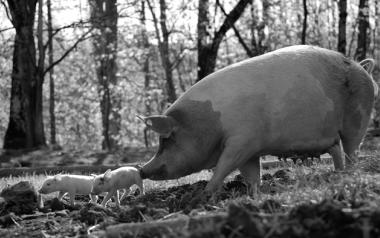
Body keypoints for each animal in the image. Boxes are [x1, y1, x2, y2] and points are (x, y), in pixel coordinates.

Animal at [140, 45, 378, 194]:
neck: (209, 124)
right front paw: (254, 193)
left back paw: (350, 175)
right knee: (337, 149)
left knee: (352, 150)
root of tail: (361, 67)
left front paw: (204, 195)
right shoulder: (251, 150)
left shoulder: (242, 141)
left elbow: (223, 166)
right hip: (331, 133)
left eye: (167, 139)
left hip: (358, 118)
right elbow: (252, 174)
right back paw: (338, 174)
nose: (142, 169)